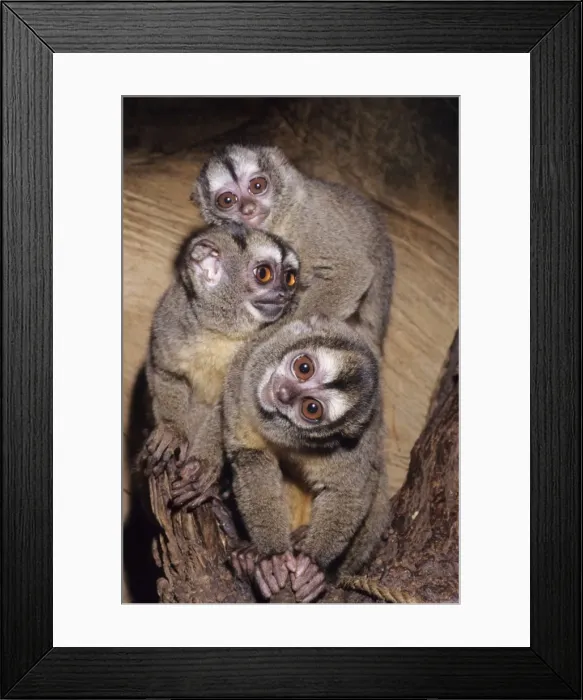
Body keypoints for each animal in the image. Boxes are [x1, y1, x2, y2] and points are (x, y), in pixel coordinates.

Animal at [141, 222, 300, 507]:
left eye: (290, 277)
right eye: (264, 274)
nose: (284, 295)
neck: (223, 333)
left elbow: (232, 410)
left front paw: (203, 466)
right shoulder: (170, 315)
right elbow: (164, 371)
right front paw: (172, 432)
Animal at [192, 144, 395, 353]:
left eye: (257, 186)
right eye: (227, 200)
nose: (248, 209)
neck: (279, 221)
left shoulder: (310, 221)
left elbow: (353, 269)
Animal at [223, 315, 390, 603]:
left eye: (311, 408)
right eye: (304, 368)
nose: (283, 392)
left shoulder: (355, 444)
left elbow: (351, 491)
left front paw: (313, 565)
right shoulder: (241, 376)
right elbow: (251, 458)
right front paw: (273, 557)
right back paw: (248, 557)